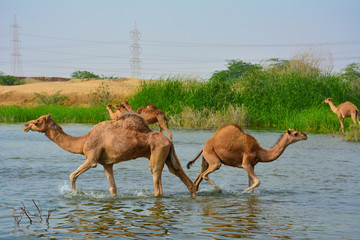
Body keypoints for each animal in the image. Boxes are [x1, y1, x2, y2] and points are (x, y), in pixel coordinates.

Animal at [23, 113, 195, 196]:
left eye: (38, 121)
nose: (25, 125)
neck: (83, 141)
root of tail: (168, 141)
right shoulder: (107, 163)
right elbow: (113, 188)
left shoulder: (92, 158)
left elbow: (72, 175)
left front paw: (74, 194)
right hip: (167, 153)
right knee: (178, 171)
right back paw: (193, 191)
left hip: (158, 151)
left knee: (156, 177)